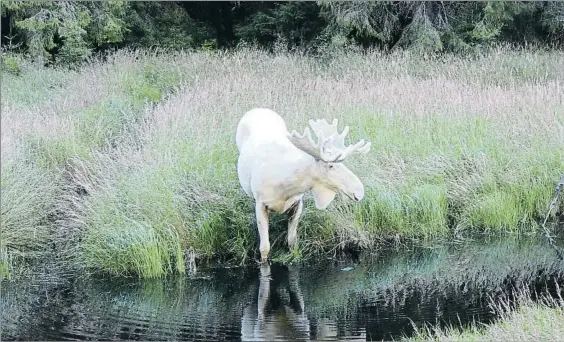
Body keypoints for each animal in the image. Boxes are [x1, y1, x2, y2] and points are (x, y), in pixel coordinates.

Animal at [236, 108, 372, 264]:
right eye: (330, 166)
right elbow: (264, 248)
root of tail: (258, 109)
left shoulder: (297, 203)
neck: (286, 186)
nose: (359, 191)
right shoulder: (260, 204)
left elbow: (292, 241)